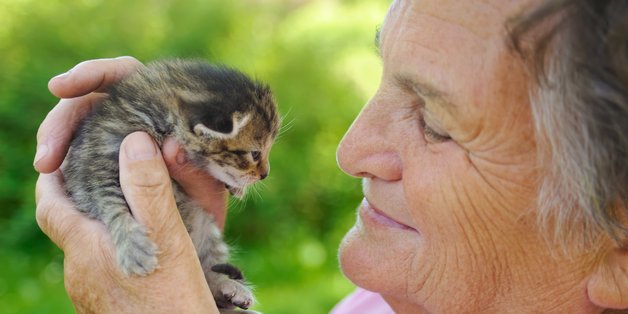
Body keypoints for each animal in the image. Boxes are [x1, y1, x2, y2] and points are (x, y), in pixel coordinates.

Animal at [63, 59, 280, 312]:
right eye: (255, 154)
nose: (265, 174)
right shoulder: (93, 169)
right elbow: (110, 204)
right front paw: (132, 246)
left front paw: (237, 187)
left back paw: (229, 287)